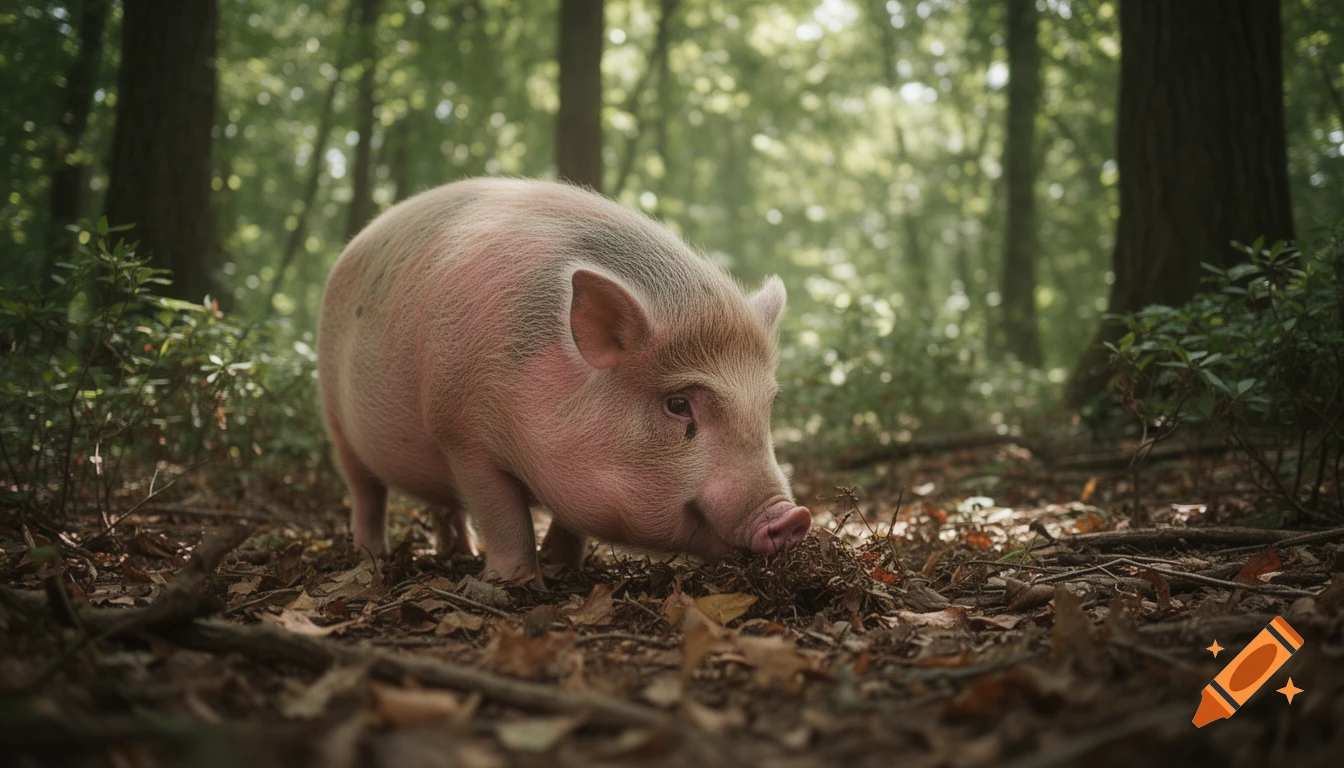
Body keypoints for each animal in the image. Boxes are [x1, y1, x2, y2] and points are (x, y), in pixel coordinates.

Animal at [318, 178, 810, 584]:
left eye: (767, 406)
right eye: (678, 404)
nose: (793, 517)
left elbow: (570, 523)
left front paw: (563, 566)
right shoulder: (460, 435)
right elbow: (504, 517)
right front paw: (514, 587)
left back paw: (460, 552)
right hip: (335, 418)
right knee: (366, 491)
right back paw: (372, 557)